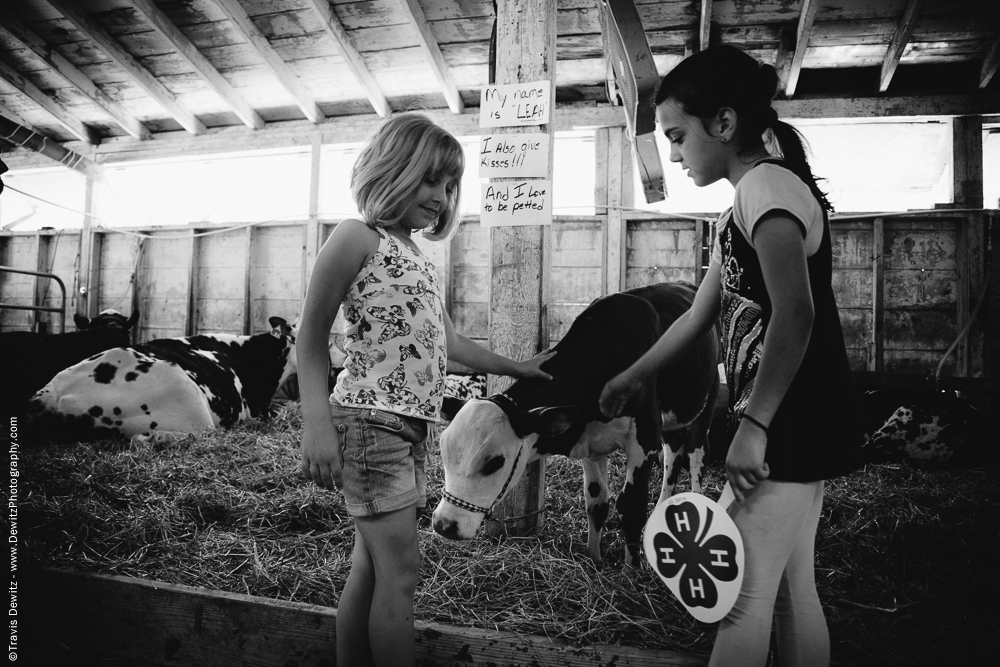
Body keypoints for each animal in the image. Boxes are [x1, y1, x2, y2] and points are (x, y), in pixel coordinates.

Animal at [430, 284, 720, 568]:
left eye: (494, 463)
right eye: (443, 453)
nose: (445, 524)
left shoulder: (645, 436)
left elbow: (631, 505)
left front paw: (631, 569)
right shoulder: (589, 443)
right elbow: (597, 501)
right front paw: (594, 559)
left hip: (707, 399)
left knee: (695, 455)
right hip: (673, 419)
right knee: (674, 453)